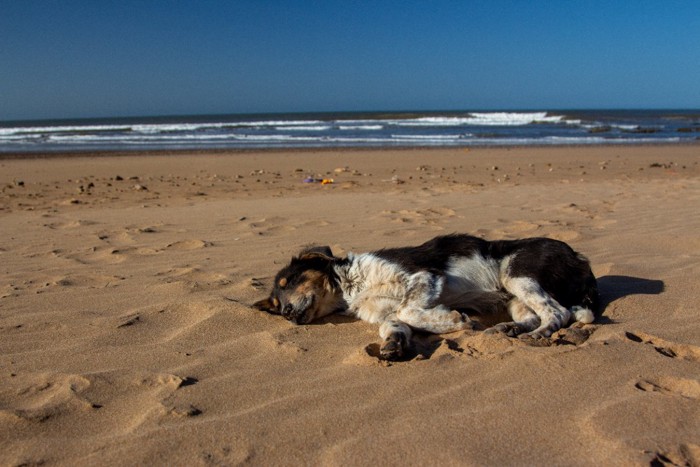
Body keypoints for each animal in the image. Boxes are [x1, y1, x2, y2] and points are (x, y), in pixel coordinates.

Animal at [254, 234, 600, 362]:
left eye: (291, 280)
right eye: (277, 304)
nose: (287, 313)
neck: (350, 289)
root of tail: (579, 258)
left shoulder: (424, 276)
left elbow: (409, 310)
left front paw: (454, 320)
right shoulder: (385, 314)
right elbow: (395, 323)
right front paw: (393, 345)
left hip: (518, 273)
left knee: (557, 313)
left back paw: (540, 335)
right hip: (513, 295)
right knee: (533, 314)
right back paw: (509, 329)